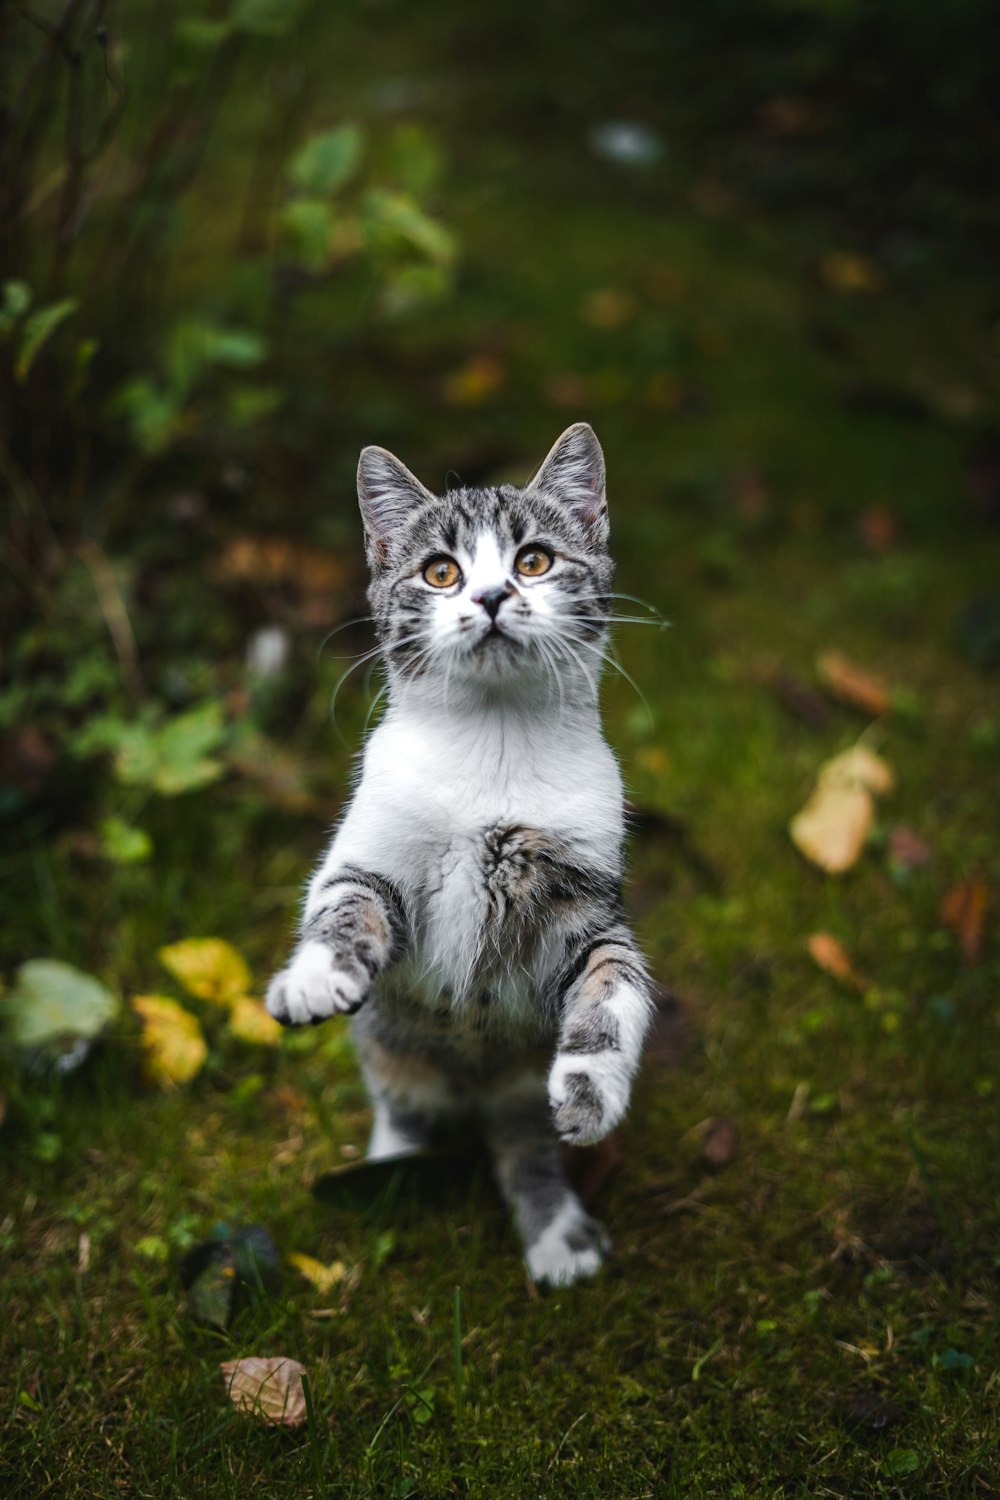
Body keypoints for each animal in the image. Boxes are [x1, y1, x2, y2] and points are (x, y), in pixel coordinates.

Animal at [268, 426, 656, 1290]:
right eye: (441, 571)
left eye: (534, 560)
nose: (489, 597)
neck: (495, 746)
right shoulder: (374, 844)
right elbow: (346, 900)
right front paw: (316, 976)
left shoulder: (585, 895)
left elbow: (616, 980)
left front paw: (592, 1089)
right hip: (394, 1054)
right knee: (406, 1111)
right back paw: (391, 1170)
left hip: (515, 1086)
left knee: (526, 1147)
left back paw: (558, 1235)